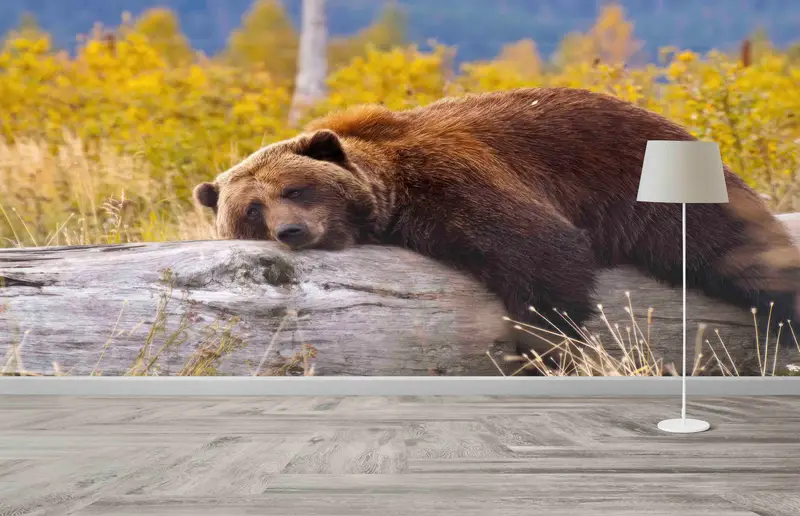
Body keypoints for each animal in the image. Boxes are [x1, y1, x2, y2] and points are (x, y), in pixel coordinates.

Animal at [193, 87, 800, 350]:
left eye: (295, 188)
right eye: (251, 210)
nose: (291, 230)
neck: (394, 191)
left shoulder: (453, 176)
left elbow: (541, 248)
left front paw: (547, 344)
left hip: (657, 190)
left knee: (741, 253)